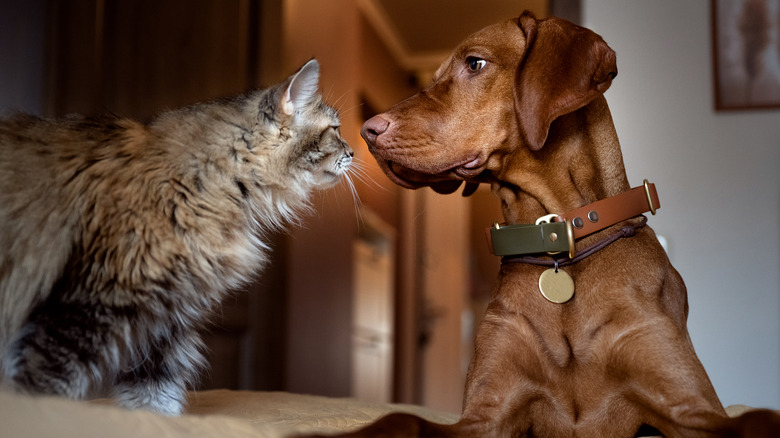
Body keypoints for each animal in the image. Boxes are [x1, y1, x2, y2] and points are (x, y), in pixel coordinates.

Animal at [0, 58, 354, 414]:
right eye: (335, 130)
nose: (352, 152)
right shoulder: (88, 307)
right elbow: (45, 390)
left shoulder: (163, 322)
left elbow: (155, 401)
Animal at [332, 11, 776, 438]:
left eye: (475, 63)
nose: (367, 130)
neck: (558, 245)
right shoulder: (488, 413)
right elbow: (400, 418)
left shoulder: (689, 405)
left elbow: (757, 417)